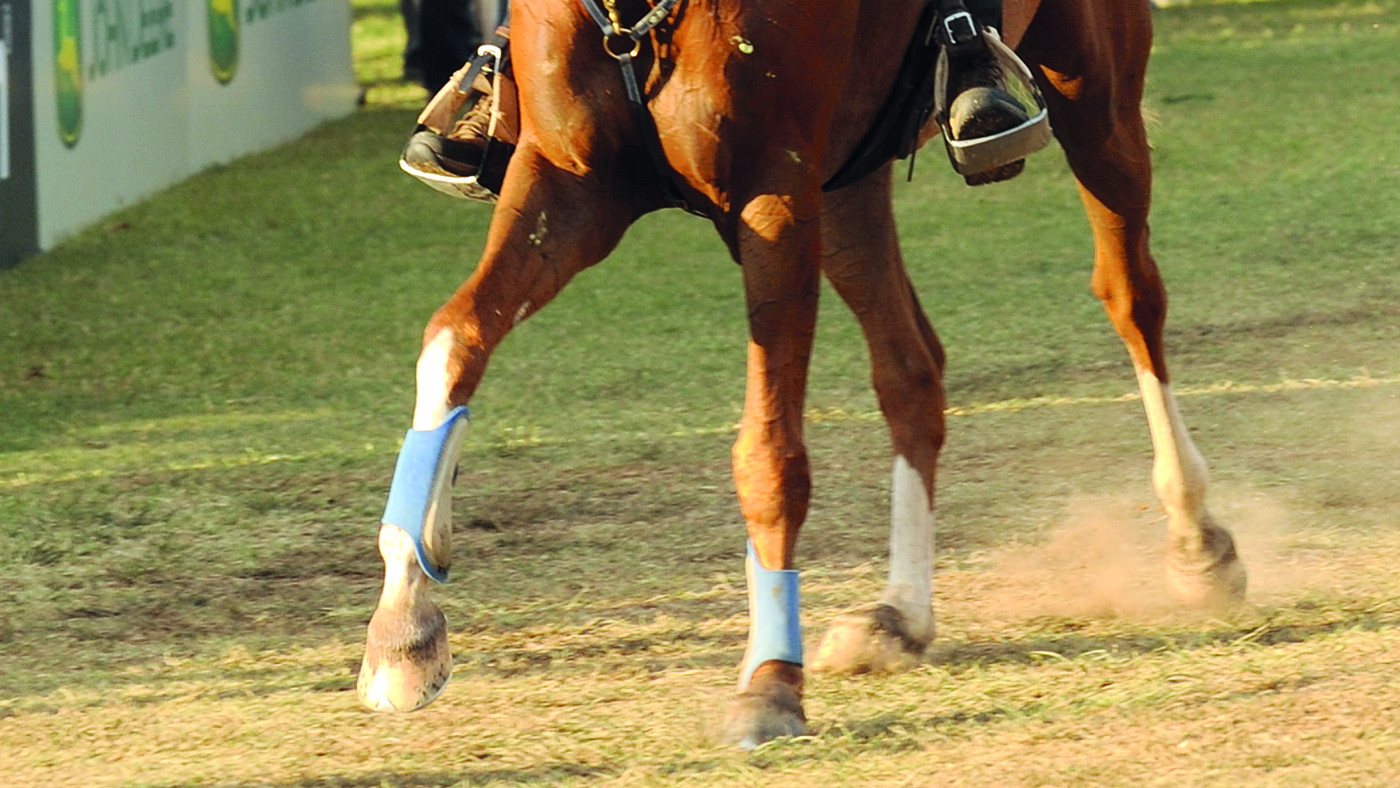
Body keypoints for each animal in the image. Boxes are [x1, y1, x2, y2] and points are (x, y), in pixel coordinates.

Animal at [356, 0, 1248, 748]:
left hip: (1094, 91)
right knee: (912, 371)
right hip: (851, 180)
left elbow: (770, 459)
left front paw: (771, 683)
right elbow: (454, 341)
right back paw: (902, 614)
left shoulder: (774, 199)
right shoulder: (567, 185)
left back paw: (1197, 539)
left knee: (1132, 299)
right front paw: (404, 627)